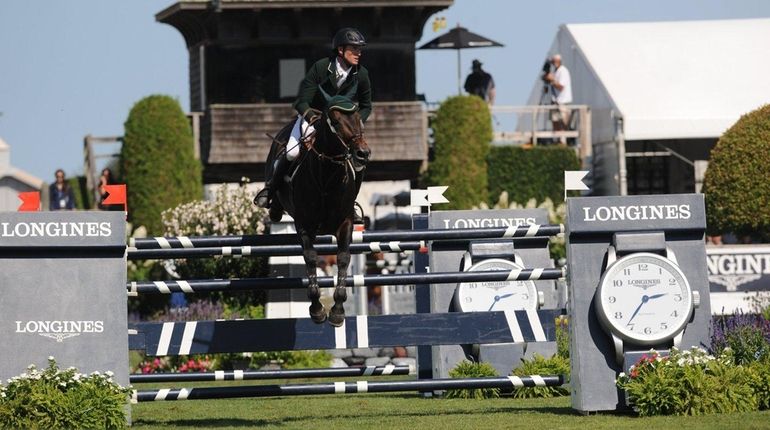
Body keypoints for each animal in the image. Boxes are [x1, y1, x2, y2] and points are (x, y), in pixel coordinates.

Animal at [264, 95, 368, 328]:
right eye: (336, 122)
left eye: (359, 118)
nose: (362, 153)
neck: (327, 178)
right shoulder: (304, 225)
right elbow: (311, 258)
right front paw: (317, 310)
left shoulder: (345, 224)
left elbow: (343, 258)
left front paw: (337, 311)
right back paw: (270, 204)